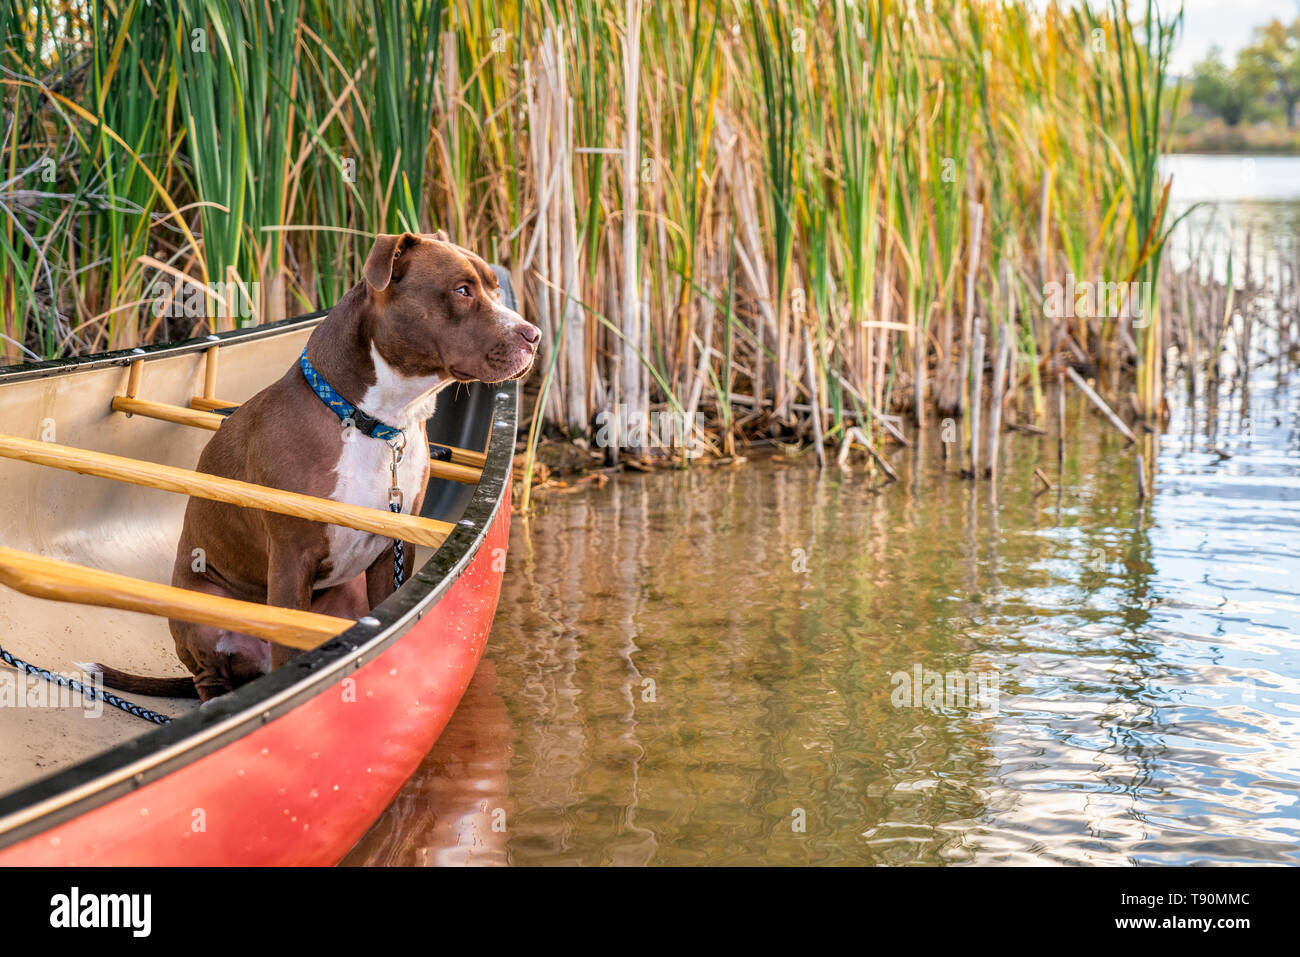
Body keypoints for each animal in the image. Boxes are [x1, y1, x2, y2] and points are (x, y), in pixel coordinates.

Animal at [94, 230, 535, 696]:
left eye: (494, 288)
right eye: (462, 290)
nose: (535, 335)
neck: (375, 423)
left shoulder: (392, 551)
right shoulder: (292, 557)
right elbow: (288, 643)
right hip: (204, 612)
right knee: (209, 677)